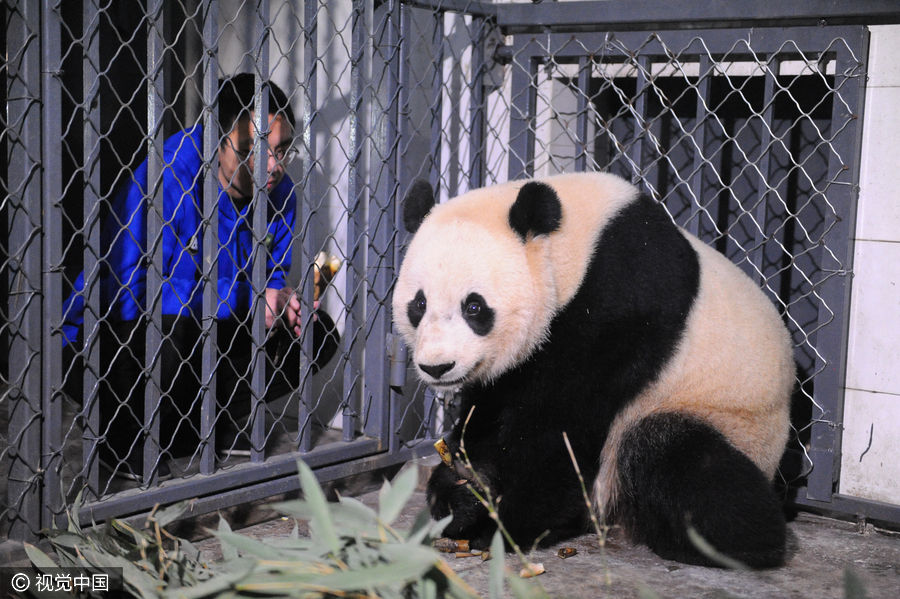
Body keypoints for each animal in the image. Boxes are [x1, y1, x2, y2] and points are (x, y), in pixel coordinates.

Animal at [394, 171, 796, 568]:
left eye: (474, 307)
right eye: (419, 305)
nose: (437, 366)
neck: (575, 248)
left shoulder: (622, 305)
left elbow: (562, 427)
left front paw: (503, 526)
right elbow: (493, 410)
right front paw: (462, 492)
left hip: (728, 419)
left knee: (674, 455)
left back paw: (733, 544)